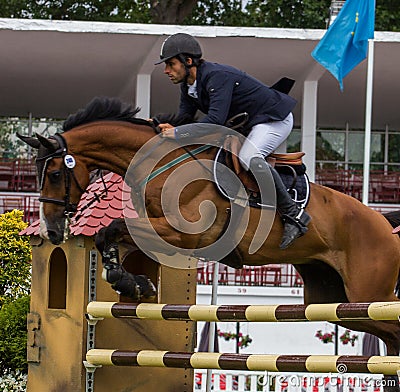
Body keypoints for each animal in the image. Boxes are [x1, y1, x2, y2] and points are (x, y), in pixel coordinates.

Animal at [20, 95, 400, 368]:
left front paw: (127, 280)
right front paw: (131, 281)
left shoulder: (185, 235)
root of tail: (383, 223)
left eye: (55, 173)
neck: (163, 164)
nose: (52, 230)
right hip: (335, 300)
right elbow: (108, 235)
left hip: (368, 290)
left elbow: (113, 227)